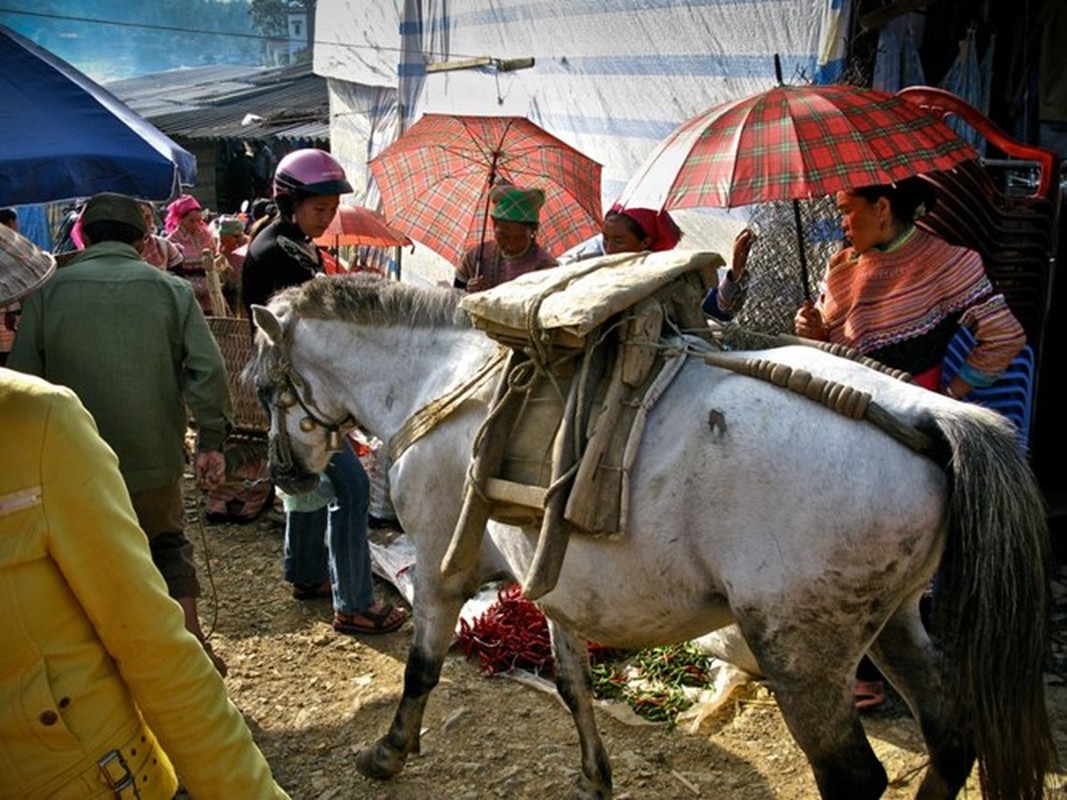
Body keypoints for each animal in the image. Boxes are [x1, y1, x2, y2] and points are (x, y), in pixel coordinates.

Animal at [251, 273, 1058, 797]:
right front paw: (594, 775)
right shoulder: (554, 582)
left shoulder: (441, 571)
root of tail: (926, 414)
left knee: (856, 779)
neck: (440, 377)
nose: (284, 472)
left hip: (803, 652)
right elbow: (572, 680)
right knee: (950, 737)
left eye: (264, 387)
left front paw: (389, 752)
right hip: (892, 623)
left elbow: (421, 669)